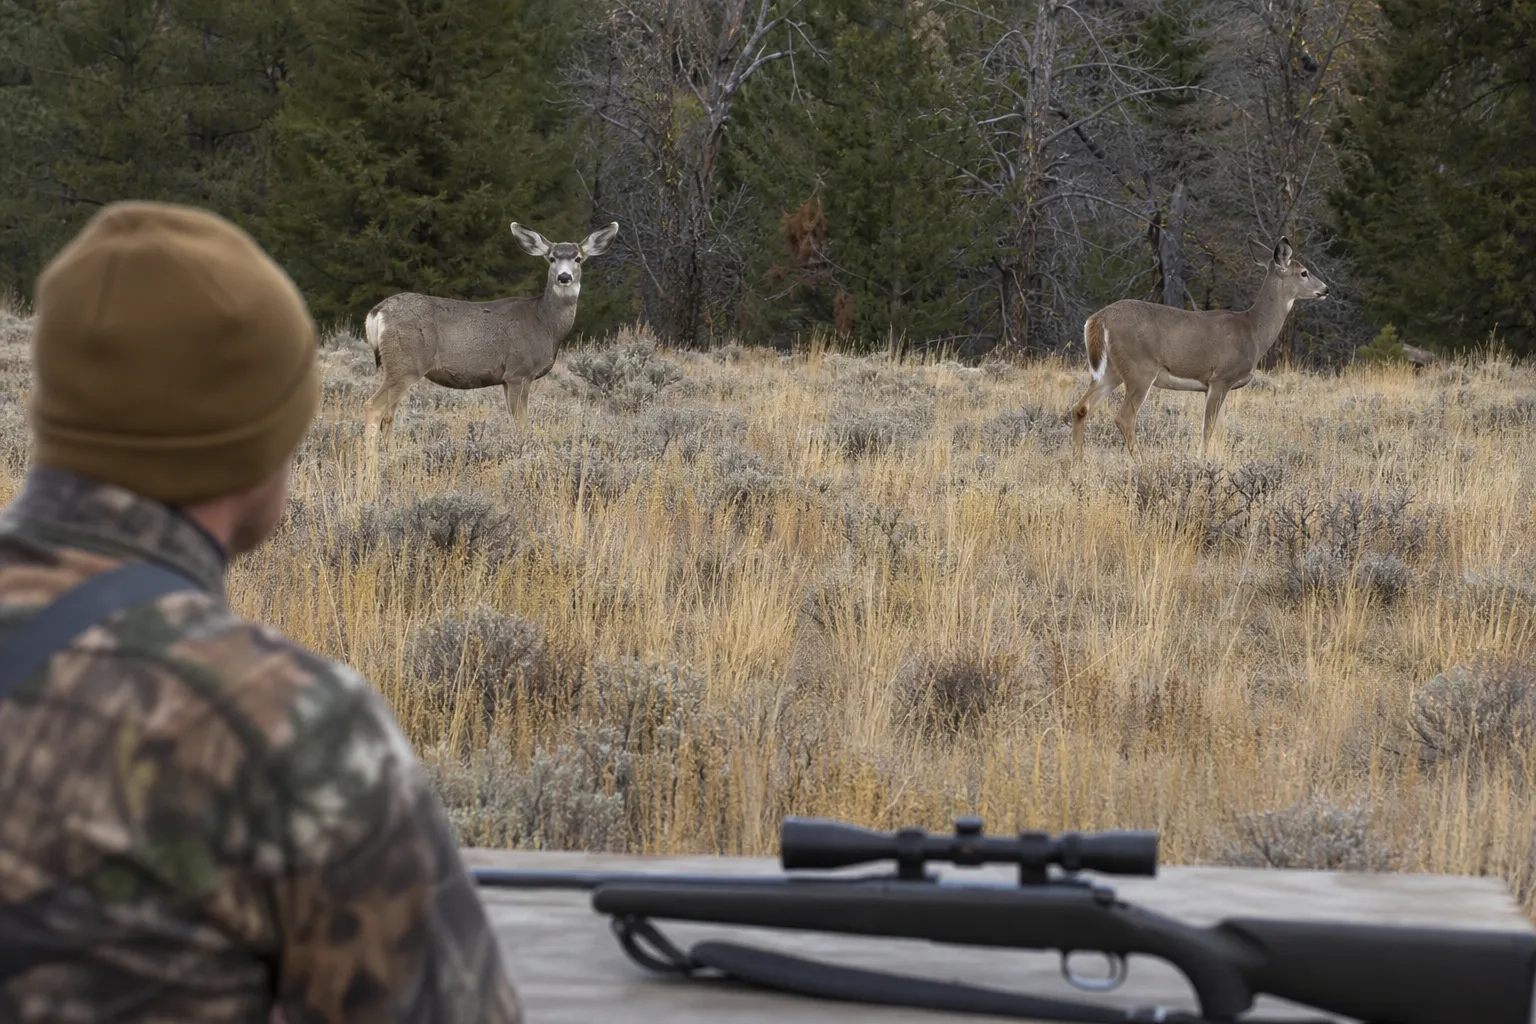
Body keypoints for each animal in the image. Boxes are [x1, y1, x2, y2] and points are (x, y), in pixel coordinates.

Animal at [361, 220, 620, 444]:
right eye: (552, 258)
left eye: (578, 258)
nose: (564, 277)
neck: (545, 324)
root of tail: (377, 312)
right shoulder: (519, 371)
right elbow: (522, 424)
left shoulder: (506, 379)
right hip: (406, 363)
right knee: (374, 407)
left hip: (399, 367)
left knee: (388, 415)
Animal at [1066, 235, 1328, 460]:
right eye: (1304, 272)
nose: (1325, 289)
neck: (1254, 331)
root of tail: (1098, 319)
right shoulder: (1221, 377)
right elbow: (1208, 430)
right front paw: (1201, 463)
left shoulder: (1217, 386)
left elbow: (1221, 432)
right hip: (1140, 367)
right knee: (1124, 417)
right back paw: (1143, 463)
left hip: (1111, 370)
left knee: (1080, 408)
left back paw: (1077, 463)